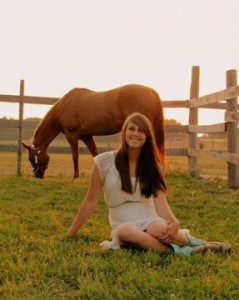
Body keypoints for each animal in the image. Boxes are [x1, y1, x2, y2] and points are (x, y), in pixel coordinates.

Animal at [22, 83, 165, 178]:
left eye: (31, 158)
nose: (38, 175)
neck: (65, 106)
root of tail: (151, 91)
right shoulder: (87, 136)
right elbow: (95, 154)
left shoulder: (71, 135)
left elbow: (75, 156)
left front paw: (75, 176)